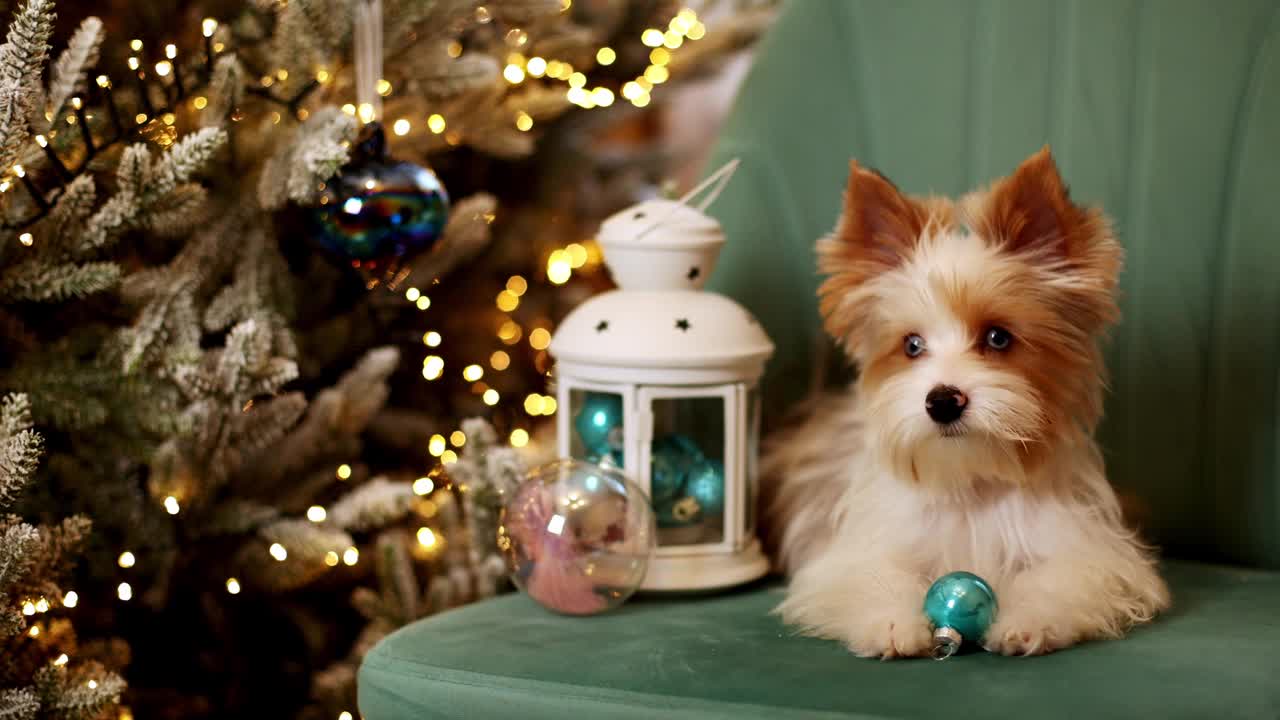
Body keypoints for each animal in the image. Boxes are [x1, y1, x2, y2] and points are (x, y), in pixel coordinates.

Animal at [757, 146, 1172, 655]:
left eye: (998, 337)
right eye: (912, 345)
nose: (942, 401)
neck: (971, 480)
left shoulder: (1089, 553)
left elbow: (1065, 578)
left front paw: (1030, 618)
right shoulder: (858, 552)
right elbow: (869, 576)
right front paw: (891, 621)